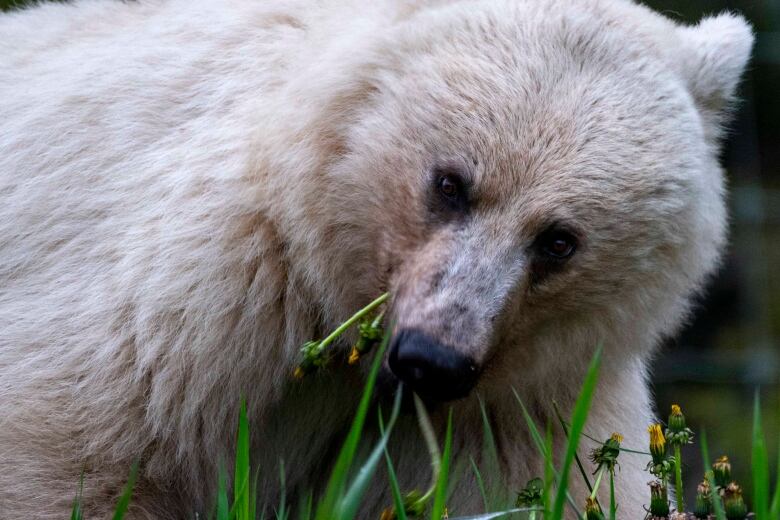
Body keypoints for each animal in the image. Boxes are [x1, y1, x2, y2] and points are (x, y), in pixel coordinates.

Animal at [0, 0, 756, 516]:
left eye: (558, 240)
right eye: (450, 183)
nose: (434, 358)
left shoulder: (521, 403)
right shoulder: (202, 294)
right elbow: (79, 453)